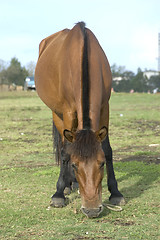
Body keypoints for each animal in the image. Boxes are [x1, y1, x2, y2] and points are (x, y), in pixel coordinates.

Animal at [35, 22, 125, 218]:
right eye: (76, 165)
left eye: (101, 164)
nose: (91, 210)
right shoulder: (68, 112)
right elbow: (65, 151)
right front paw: (59, 193)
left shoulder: (104, 107)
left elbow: (107, 149)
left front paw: (115, 193)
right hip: (57, 114)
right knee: (64, 145)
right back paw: (67, 186)